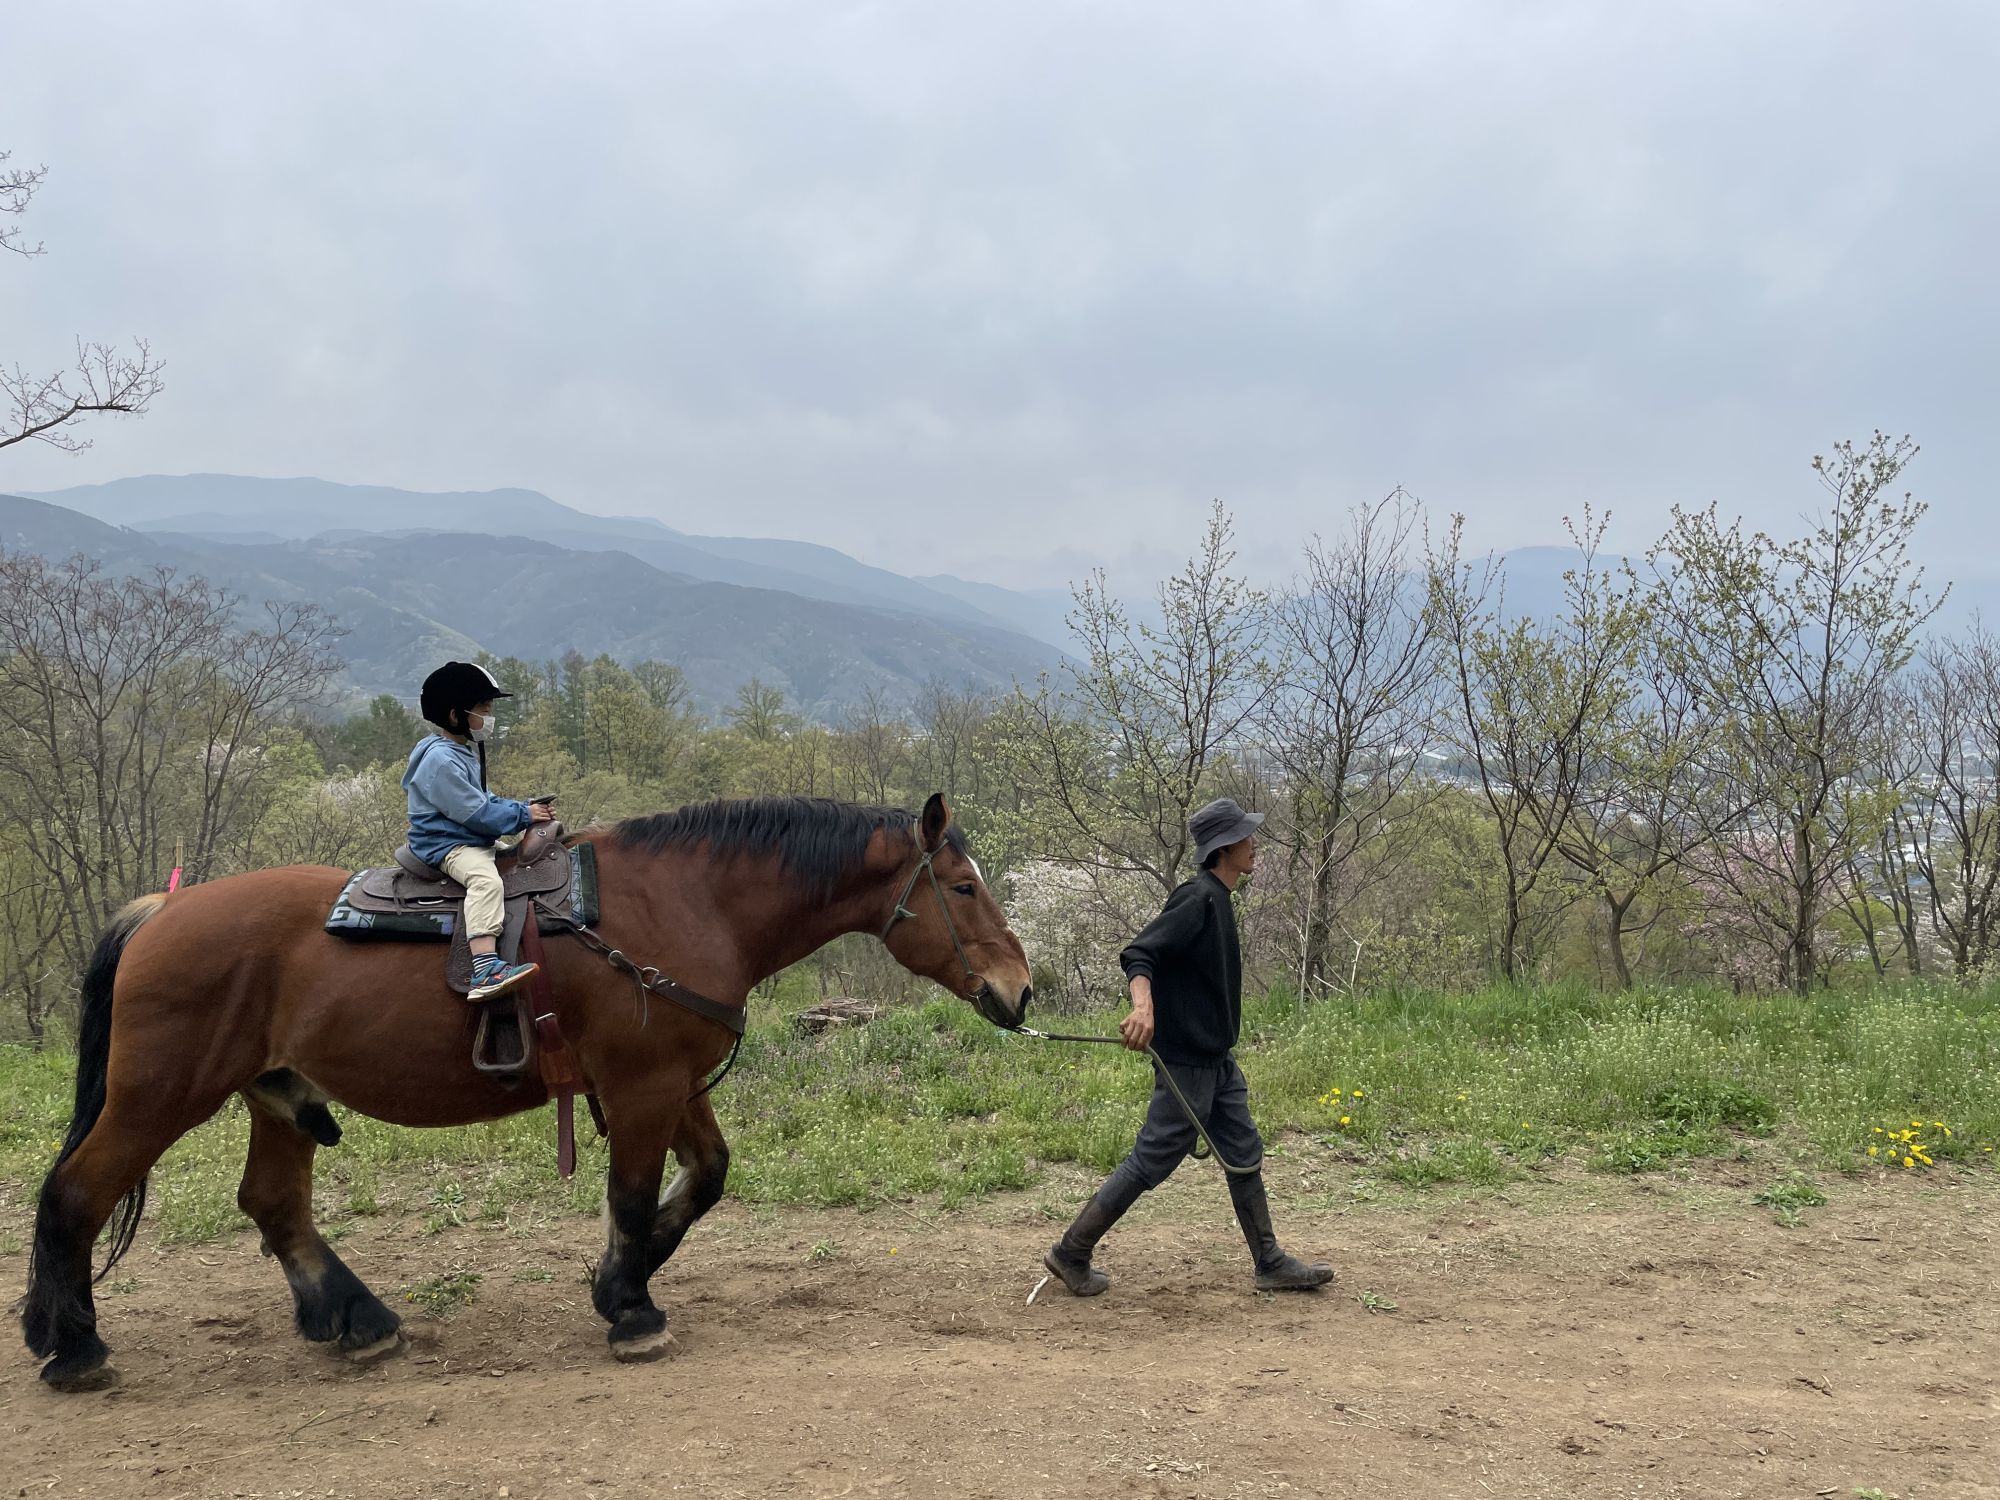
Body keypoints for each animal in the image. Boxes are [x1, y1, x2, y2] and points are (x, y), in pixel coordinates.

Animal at [19, 792, 1032, 1390]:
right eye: (962, 886)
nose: (1020, 992)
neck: (684, 902)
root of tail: (163, 910)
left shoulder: (673, 1082)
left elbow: (702, 1178)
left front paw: (618, 1278)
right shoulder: (643, 1087)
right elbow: (635, 1192)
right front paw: (632, 1307)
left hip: (277, 1093)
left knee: (272, 1203)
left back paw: (355, 1320)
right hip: (159, 1097)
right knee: (74, 1194)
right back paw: (77, 1348)